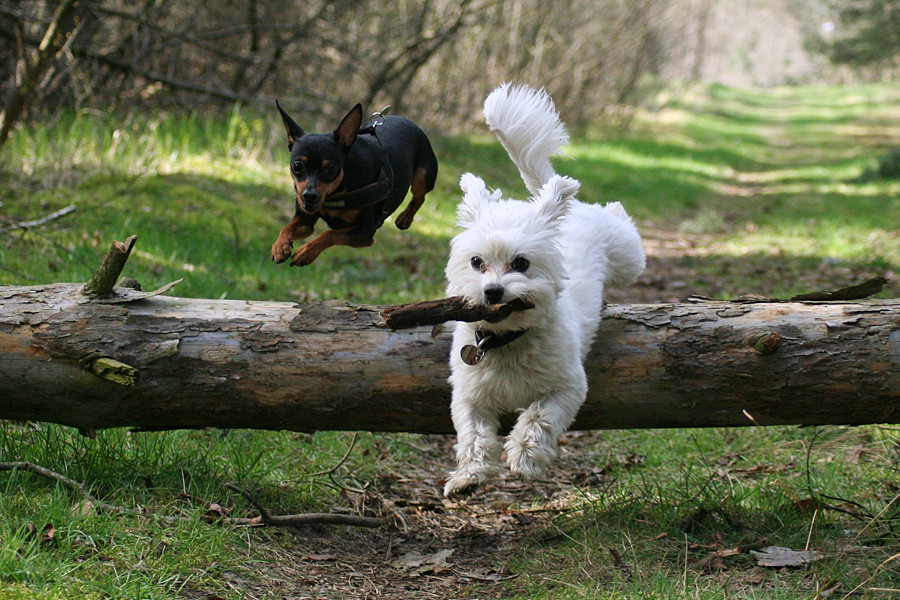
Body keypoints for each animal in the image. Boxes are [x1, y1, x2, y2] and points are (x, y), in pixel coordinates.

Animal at [268, 102, 438, 266]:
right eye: (297, 166)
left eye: (331, 169)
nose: (309, 196)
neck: (338, 191)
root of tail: (408, 121)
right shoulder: (305, 221)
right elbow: (286, 228)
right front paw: (279, 247)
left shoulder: (365, 233)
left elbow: (330, 234)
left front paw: (306, 253)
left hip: (423, 175)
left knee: (420, 196)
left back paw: (405, 218)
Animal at [444, 84, 648, 496]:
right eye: (476, 262)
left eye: (521, 263)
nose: (492, 292)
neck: (506, 342)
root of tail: (570, 210)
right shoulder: (469, 396)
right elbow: (473, 435)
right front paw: (468, 475)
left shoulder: (566, 386)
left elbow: (539, 417)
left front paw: (525, 457)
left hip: (627, 259)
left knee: (620, 220)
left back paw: (615, 208)